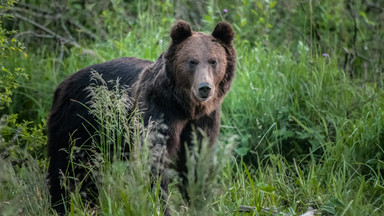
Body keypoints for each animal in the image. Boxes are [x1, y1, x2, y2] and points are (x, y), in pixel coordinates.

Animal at [46, 19, 236, 214]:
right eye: (192, 61)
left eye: (214, 61)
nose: (204, 88)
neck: (185, 107)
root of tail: (62, 84)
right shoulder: (158, 113)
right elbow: (154, 159)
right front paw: (162, 205)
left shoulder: (203, 120)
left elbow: (196, 158)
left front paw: (199, 201)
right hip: (79, 123)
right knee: (65, 165)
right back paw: (60, 205)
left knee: (90, 173)